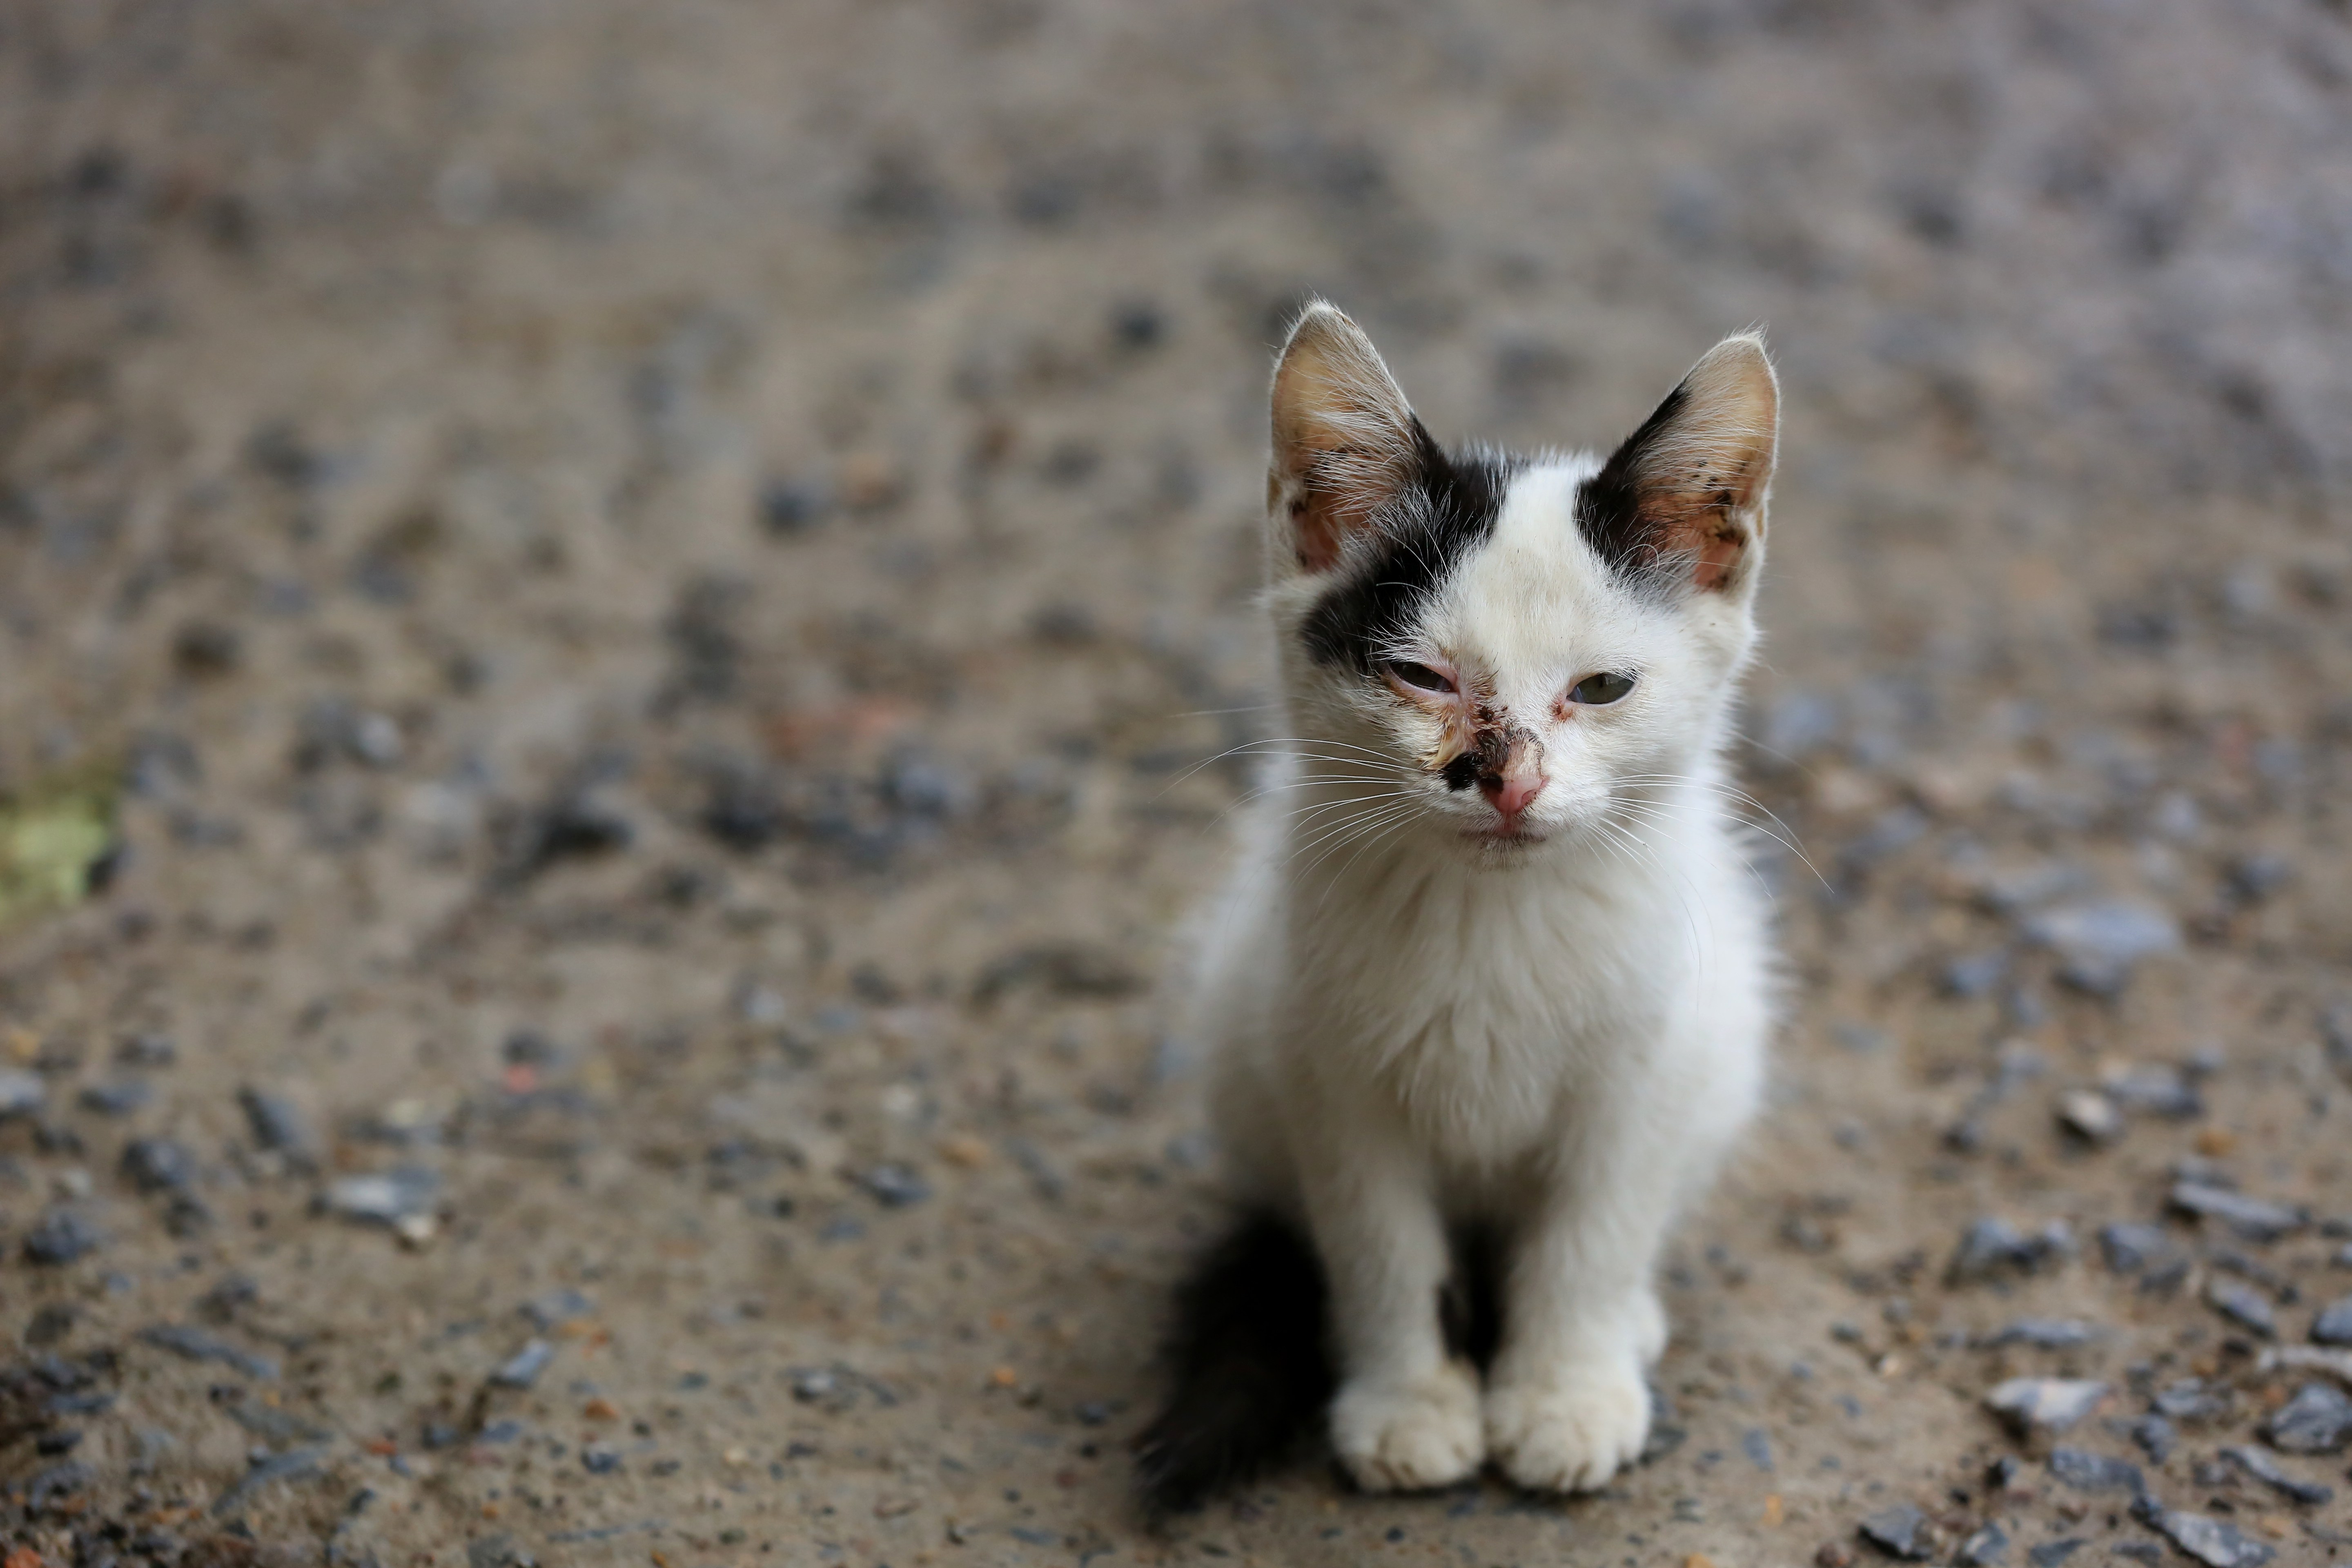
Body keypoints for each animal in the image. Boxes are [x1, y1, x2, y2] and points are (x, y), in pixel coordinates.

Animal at [1138, 301, 1778, 1514]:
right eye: (1423, 677)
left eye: (1602, 688)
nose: (1506, 781)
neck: (1494, 923)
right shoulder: (1324, 1072)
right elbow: (1384, 1249)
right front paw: (1408, 1405)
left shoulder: (1646, 1070)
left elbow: (1589, 1237)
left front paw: (1563, 1394)